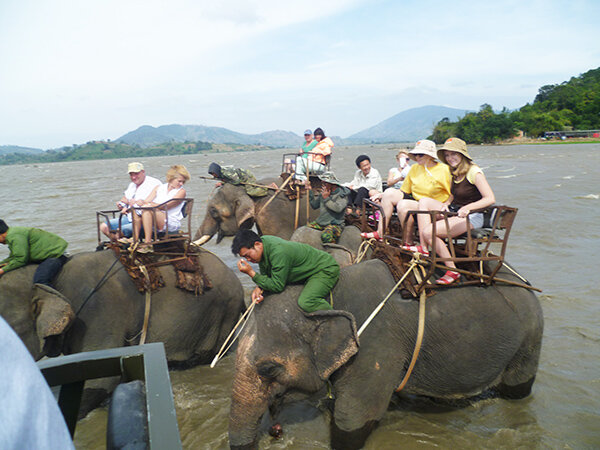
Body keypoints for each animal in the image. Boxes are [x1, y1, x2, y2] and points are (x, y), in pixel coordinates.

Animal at [226, 258, 544, 448]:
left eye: (269, 369)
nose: (274, 430)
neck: (324, 292)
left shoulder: (376, 347)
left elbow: (353, 418)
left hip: (530, 338)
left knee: (517, 389)